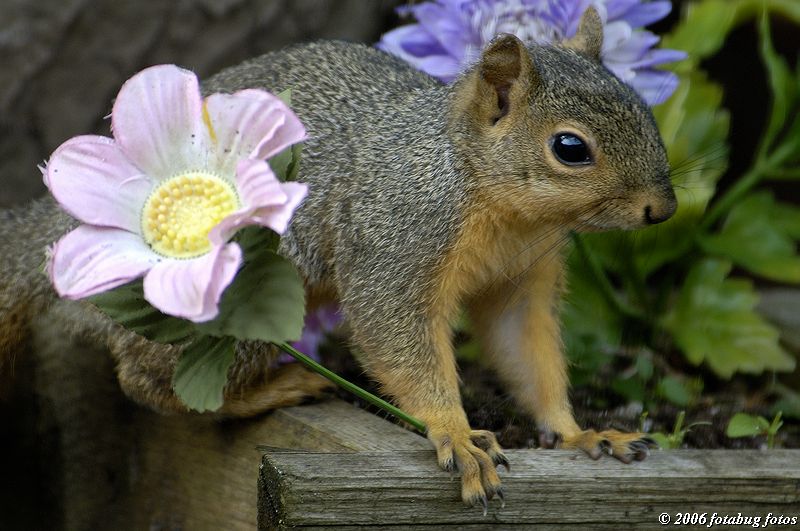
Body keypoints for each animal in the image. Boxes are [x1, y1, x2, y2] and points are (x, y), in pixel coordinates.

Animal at [0, 7, 676, 508]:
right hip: (236, 296)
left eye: (646, 109)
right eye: (570, 148)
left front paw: (581, 432)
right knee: (148, 381)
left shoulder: (520, 279)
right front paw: (458, 435)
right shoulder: (396, 239)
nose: (663, 209)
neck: (499, 206)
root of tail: (61, 231)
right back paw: (280, 386)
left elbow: (527, 356)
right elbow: (394, 336)